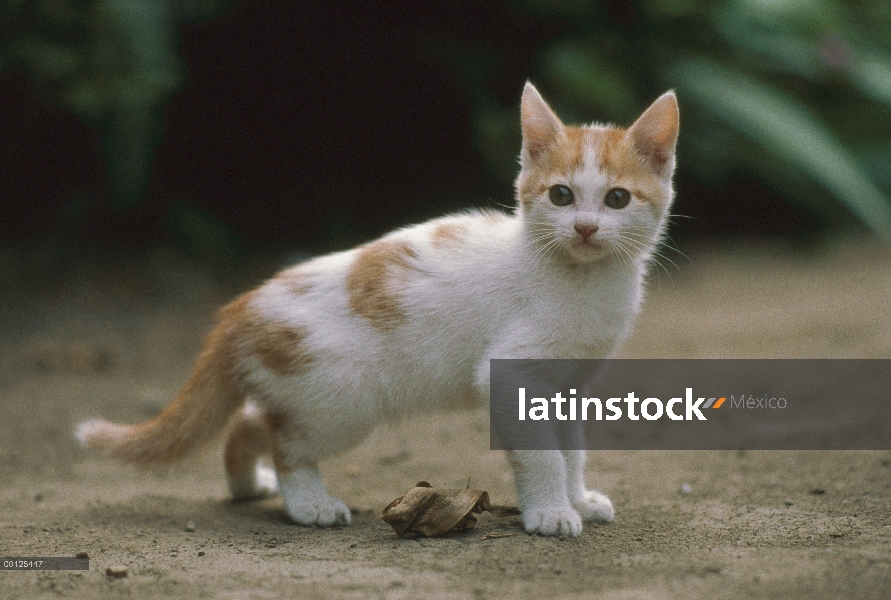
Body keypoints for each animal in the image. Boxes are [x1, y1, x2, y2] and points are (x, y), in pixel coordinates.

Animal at [78, 82, 676, 536]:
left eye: (617, 199)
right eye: (560, 196)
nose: (586, 228)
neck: (581, 280)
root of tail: (242, 307)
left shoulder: (568, 379)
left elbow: (571, 448)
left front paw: (578, 497)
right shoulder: (510, 372)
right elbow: (543, 452)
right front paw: (551, 511)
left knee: (248, 421)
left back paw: (247, 487)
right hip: (343, 400)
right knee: (284, 439)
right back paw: (309, 503)